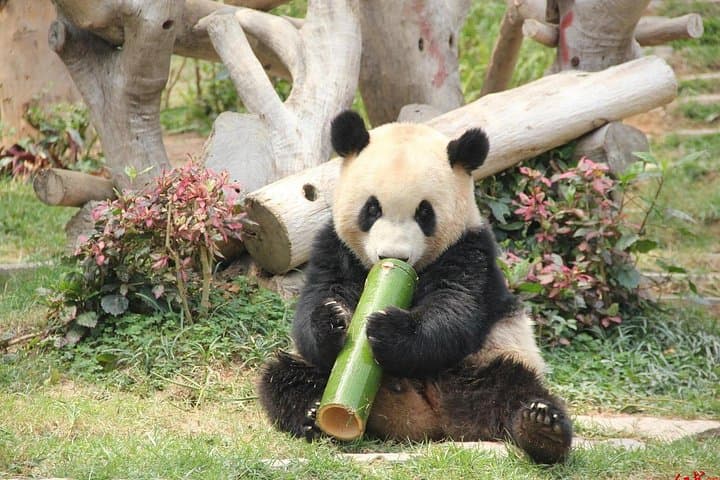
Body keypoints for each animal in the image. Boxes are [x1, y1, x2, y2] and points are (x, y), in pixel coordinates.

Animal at [257, 110, 573, 464]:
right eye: (372, 209)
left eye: (425, 213)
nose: (392, 256)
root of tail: (427, 420)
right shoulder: (333, 246)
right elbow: (317, 298)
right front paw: (332, 320)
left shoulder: (470, 248)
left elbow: (456, 307)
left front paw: (388, 328)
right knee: (282, 378)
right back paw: (311, 415)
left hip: (490, 361)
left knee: (516, 391)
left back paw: (541, 427)